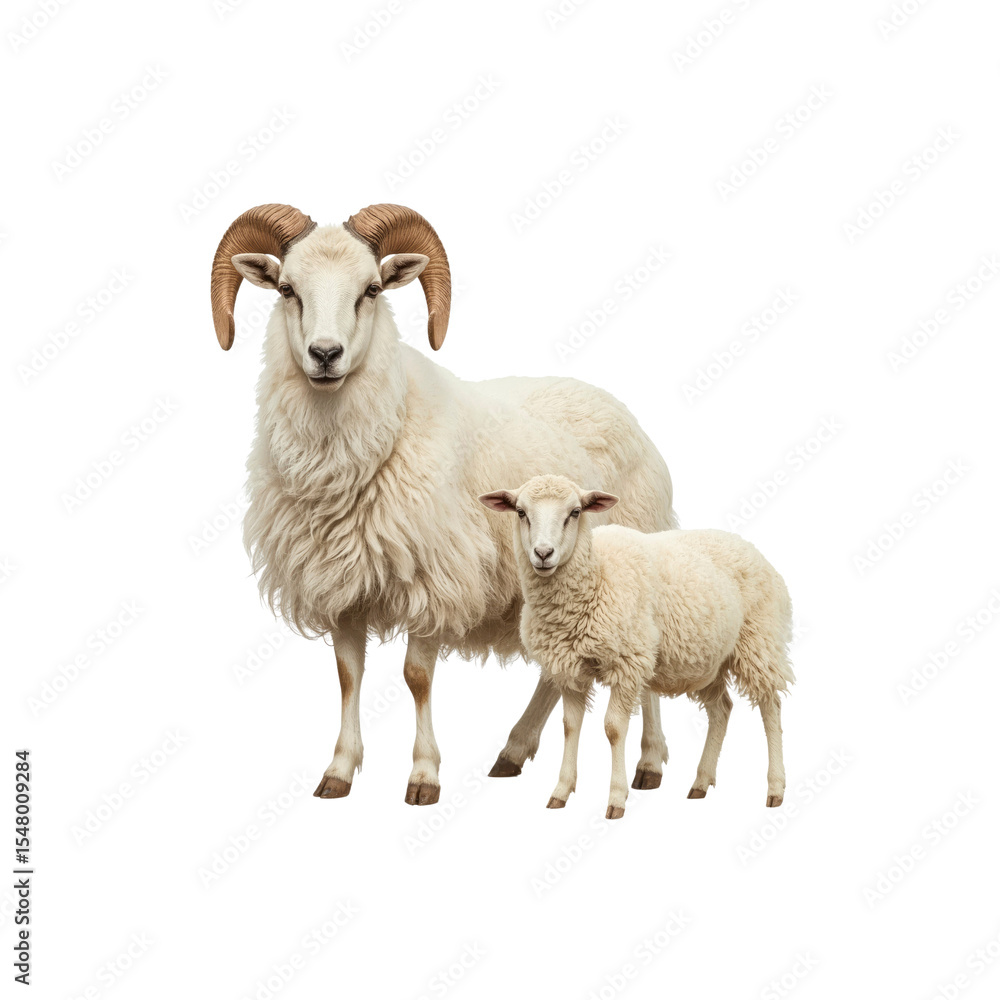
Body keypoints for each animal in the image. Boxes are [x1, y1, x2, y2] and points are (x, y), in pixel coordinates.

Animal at [210, 203, 677, 805]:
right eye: (287, 289)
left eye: (371, 289)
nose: (325, 355)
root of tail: (620, 408)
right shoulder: (342, 583)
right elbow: (347, 675)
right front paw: (339, 770)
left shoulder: (436, 579)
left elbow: (416, 678)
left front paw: (424, 775)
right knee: (557, 672)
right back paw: (513, 751)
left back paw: (650, 763)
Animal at [479, 474, 794, 818]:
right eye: (521, 512)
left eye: (575, 512)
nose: (543, 553)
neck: (597, 575)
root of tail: (749, 546)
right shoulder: (570, 668)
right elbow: (569, 727)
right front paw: (560, 791)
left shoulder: (627, 664)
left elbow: (613, 728)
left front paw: (616, 798)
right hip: (708, 659)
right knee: (722, 709)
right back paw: (700, 783)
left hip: (759, 642)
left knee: (771, 709)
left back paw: (775, 788)